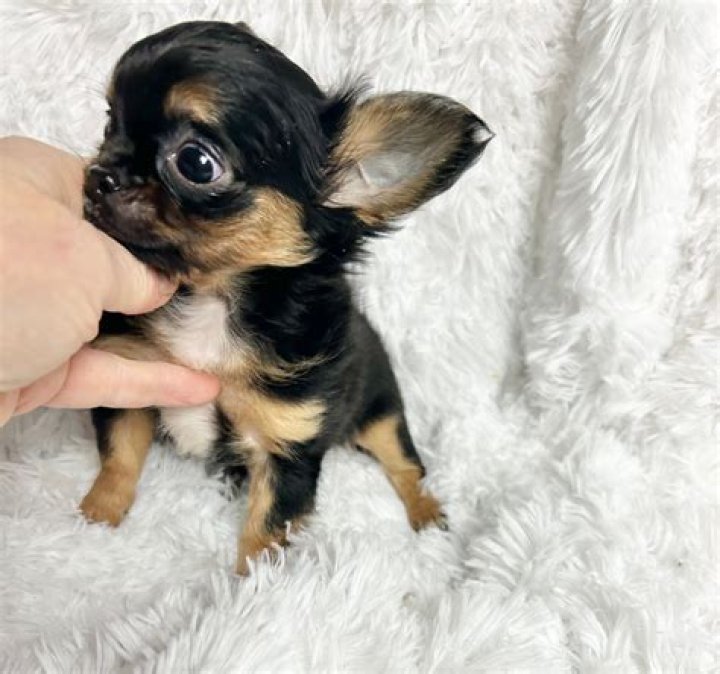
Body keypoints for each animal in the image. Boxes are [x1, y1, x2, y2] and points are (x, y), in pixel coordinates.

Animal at [81, 20, 493, 574]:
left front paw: (252, 585)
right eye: (110, 123)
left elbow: (266, 528)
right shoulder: (131, 382)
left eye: (196, 163)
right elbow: (120, 456)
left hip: (382, 412)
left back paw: (426, 516)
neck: (213, 301)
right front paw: (94, 521)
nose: (99, 174)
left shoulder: (288, 446)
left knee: (407, 466)